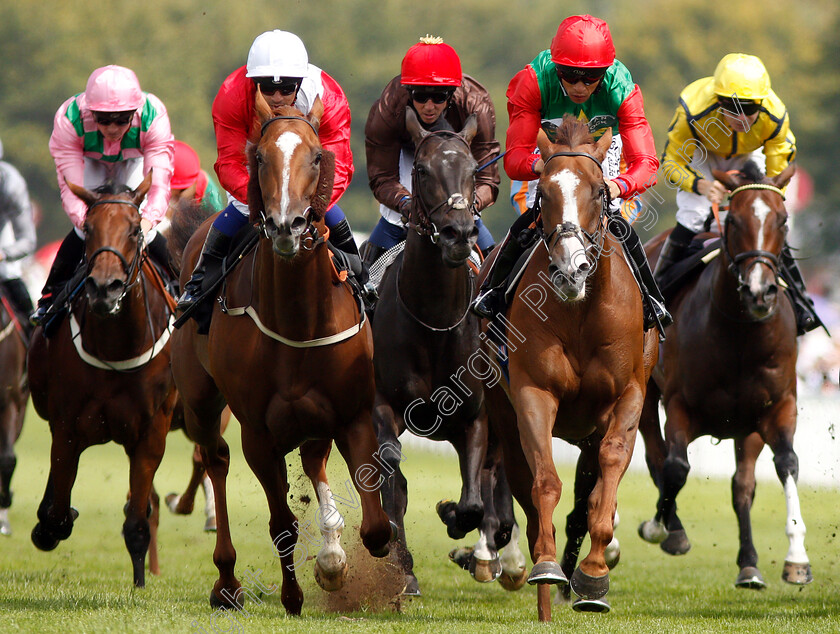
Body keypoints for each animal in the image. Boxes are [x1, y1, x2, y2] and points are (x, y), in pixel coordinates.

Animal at [29, 174, 179, 588]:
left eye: (135, 230)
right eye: (89, 229)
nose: (104, 287)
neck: (118, 344)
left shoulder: (152, 431)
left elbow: (137, 520)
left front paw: (141, 582)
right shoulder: (67, 427)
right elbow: (56, 512)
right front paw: (52, 524)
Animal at [172, 97, 396, 612]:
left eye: (316, 156)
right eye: (259, 158)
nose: (286, 224)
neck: (298, 320)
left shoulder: (352, 413)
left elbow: (376, 529)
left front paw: (333, 565)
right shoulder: (257, 431)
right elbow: (281, 525)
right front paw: (292, 595)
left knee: (312, 461)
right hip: (201, 401)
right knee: (214, 459)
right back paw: (227, 581)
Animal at [372, 106, 524, 596]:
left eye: (473, 169)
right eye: (421, 169)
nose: (458, 233)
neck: (434, 321)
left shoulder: (476, 418)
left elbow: (474, 501)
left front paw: (455, 520)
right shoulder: (383, 404)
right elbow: (392, 477)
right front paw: (403, 566)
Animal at [482, 115, 660, 616]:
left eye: (599, 191)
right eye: (542, 192)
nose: (570, 270)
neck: (580, 312)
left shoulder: (629, 395)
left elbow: (610, 471)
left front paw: (595, 575)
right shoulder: (532, 394)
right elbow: (544, 482)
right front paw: (547, 569)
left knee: (588, 494)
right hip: (503, 414)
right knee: (525, 490)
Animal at [636, 162, 812, 588]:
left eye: (784, 220)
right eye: (733, 219)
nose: (760, 292)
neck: (739, 337)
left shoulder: (777, 406)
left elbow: (786, 464)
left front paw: (796, 558)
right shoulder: (679, 404)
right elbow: (675, 467)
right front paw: (660, 528)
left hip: (745, 427)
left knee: (741, 485)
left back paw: (749, 563)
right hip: (645, 393)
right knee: (654, 453)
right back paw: (673, 529)